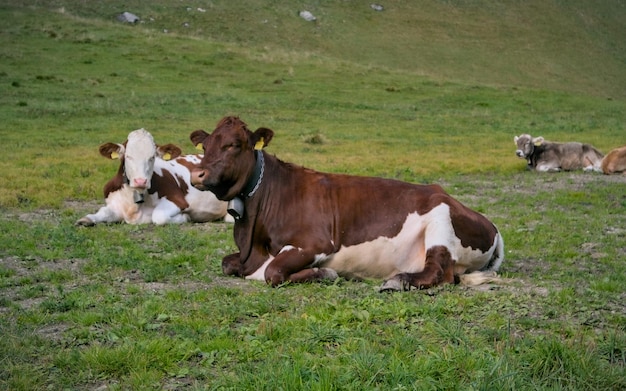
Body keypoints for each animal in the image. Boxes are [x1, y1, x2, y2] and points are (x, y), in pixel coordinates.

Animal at [74, 129, 228, 227]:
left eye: (152, 157)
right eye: (127, 156)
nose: (141, 181)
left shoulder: (178, 200)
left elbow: (159, 216)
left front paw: (184, 217)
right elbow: (102, 212)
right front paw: (85, 219)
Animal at [189, 116, 502, 290]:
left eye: (234, 145)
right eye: (206, 145)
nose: (197, 174)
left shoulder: (315, 243)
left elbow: (273, 271)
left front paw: (325, 273)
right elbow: (227, 263)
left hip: (440, 222)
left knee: (440, 272)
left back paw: (397, 281)